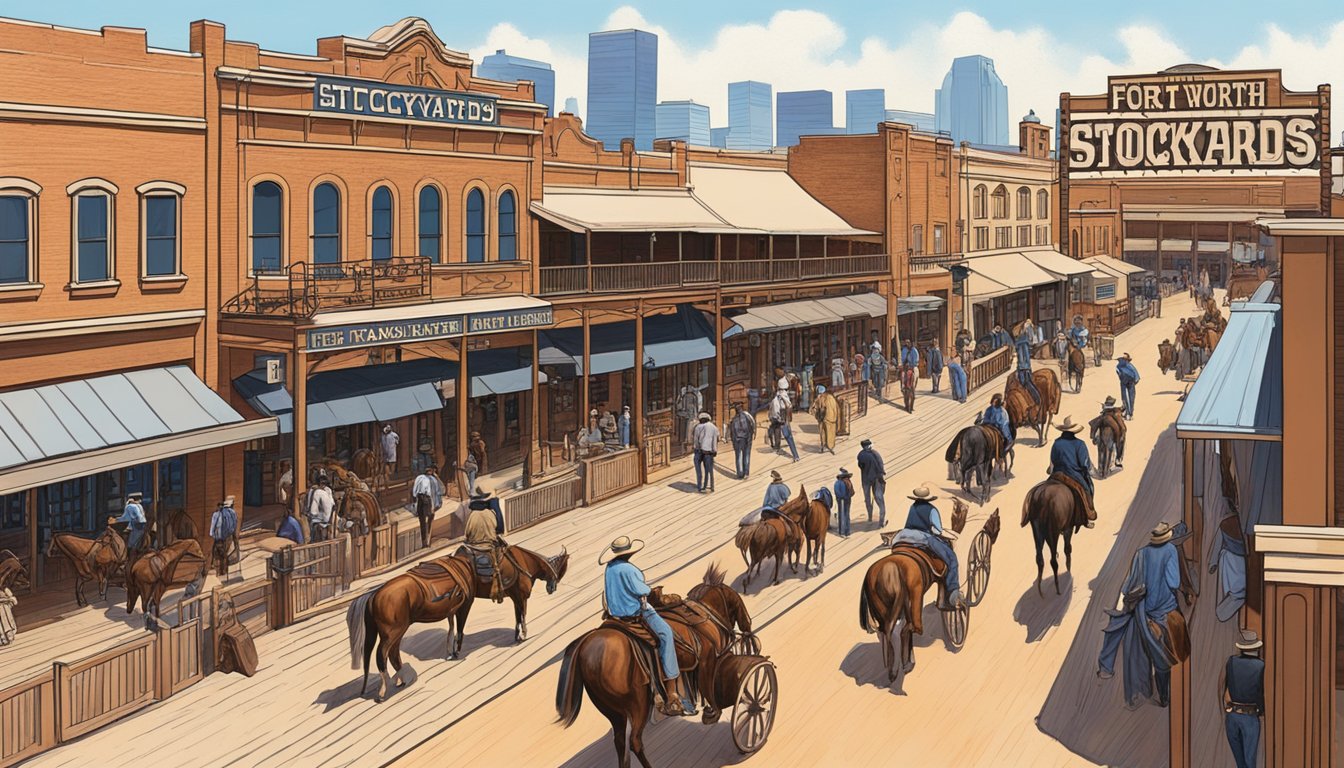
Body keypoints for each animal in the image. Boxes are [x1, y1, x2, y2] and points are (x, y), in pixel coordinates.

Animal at [346, 554, 478, 704]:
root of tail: (373, 596)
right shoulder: (464, 607)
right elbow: (459, 631)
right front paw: (455, 653)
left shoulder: (452, 611)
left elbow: (451, 630)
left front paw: (451, 652)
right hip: (392, 633)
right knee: (382, 654)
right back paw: (383, 692)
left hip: (395, 632)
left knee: (392, 653)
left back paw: (401, 681)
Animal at [551, 564, 752, 768]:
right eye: (735, 597)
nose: (748, 625)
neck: (703, 616)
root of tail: (585, 645)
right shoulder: (707, 661)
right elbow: (709, 688)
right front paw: (712, 713)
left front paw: (679, 705)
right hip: (638, 703)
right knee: (635, 742)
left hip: (614, 712)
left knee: (621, 745)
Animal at [854, 508, 983, 683]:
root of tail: (887, 571)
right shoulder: (941, 578)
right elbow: (944, 598)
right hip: (913, 599)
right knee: (907, 628)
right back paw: (904, 666)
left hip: (886, 609)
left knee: (889, 633)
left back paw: (895, 669)